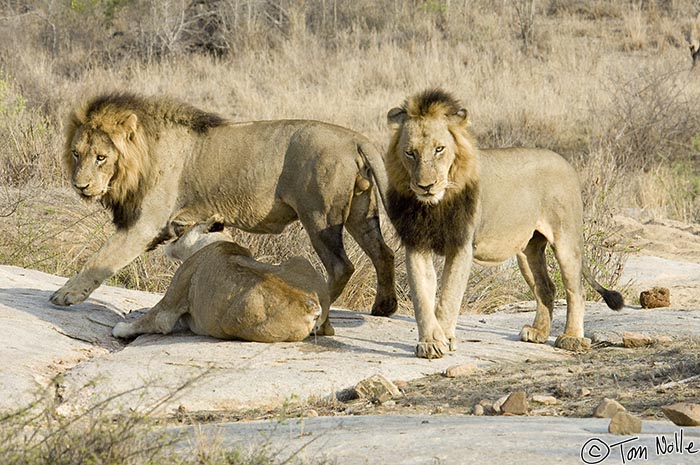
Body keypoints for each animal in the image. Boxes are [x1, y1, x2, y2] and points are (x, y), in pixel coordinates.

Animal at [52, 93, 396, 320]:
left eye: (101, 157)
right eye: (76, 153)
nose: (80, 186)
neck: (142, 157)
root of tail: (355, 138)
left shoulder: (145, 223)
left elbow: (102, 258)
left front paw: (66, 294)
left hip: (319, 215)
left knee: (341, 266)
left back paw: (324, 303)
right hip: (360, 212)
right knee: (383, 253)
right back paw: (384, 307)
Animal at [360, 89, 624, 358]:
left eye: (439, 149)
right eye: (410, 153)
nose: (426, 185)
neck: (434, 206)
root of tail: (565, 161)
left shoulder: (461, 245)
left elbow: (448, 297)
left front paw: (446, 338)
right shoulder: (417, 243)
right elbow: (422, 297)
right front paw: (431, 342)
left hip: (566, 240)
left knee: (576, 290)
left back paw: (571, 338)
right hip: (528, 249)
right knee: (546, 287)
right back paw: (538, 333)